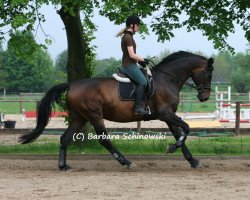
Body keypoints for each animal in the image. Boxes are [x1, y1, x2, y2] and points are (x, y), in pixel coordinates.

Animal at [18, 50, 214, 170]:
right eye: (208, 73)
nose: (204, 97)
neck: (167, 80)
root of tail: (72, 85)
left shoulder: (167, 116)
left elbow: (179, 133)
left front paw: (193, 161)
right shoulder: (166, 114)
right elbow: (186, 129)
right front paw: (171, 148)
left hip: (80, 117)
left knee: (65, 138)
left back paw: (63, 166)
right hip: (95, 116)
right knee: (104, 139)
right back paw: (126, 162)